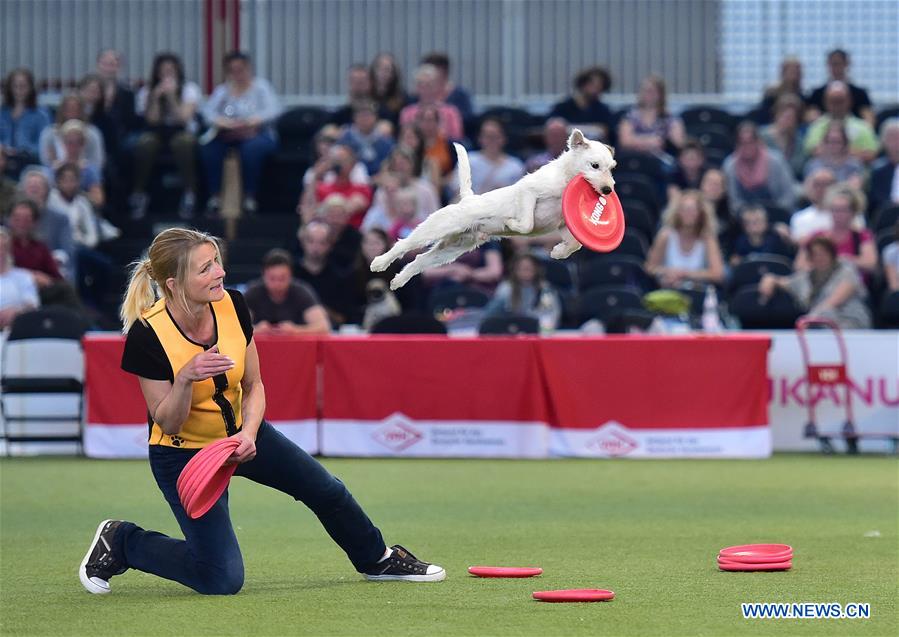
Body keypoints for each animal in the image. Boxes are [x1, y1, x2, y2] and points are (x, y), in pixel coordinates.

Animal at [370, 129, 616, 288]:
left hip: (452, 249)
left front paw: (558, 252)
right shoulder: (528, 193)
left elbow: (574, 244)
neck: (565, 179)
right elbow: (526, 224)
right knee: (404, 244)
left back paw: (398, 280)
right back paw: (379, 262)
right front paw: (511, 223)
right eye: (594, 165)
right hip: (437, 226)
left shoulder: (564, 224)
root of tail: (467, 199)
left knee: (420, 260)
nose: (607, 190)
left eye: (612, 167)